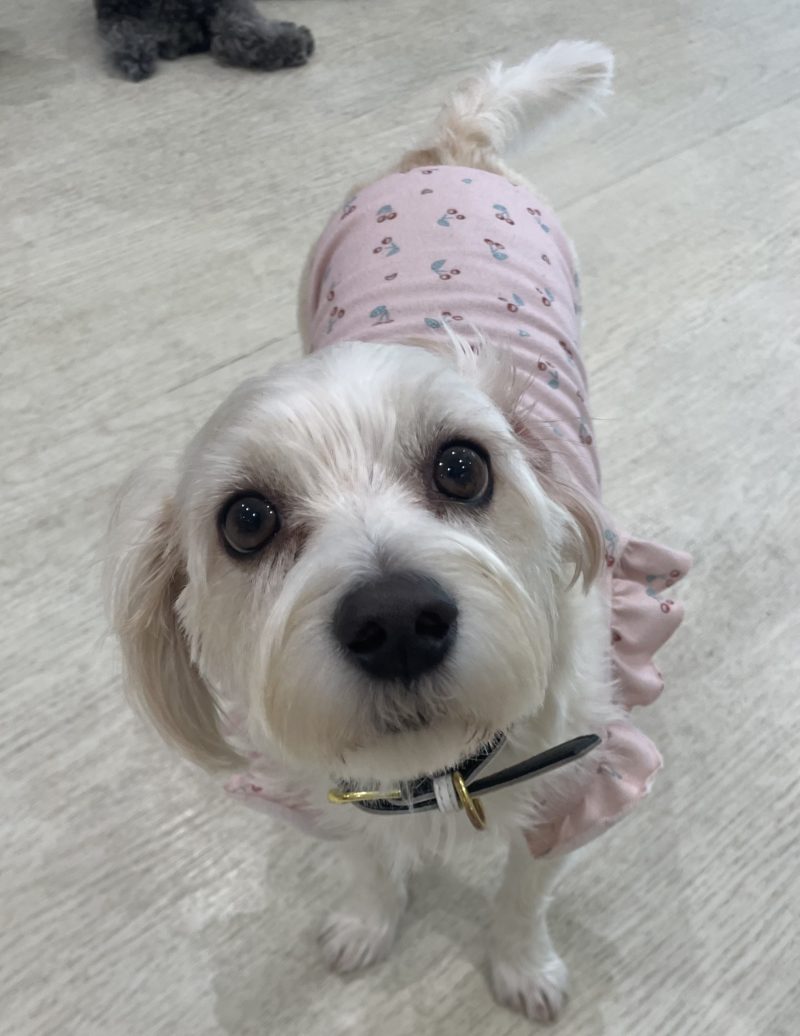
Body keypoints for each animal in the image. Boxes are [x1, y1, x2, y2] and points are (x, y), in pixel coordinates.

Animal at [106, 41, 690, 1022]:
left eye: (462, 467)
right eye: (246, 521)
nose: (397, 621)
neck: (443, 772)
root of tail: (447, 153)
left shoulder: (578, 785)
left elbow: (524, 894)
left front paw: (522, 966)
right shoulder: (335, 797)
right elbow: (368, 862)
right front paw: (367, 924)